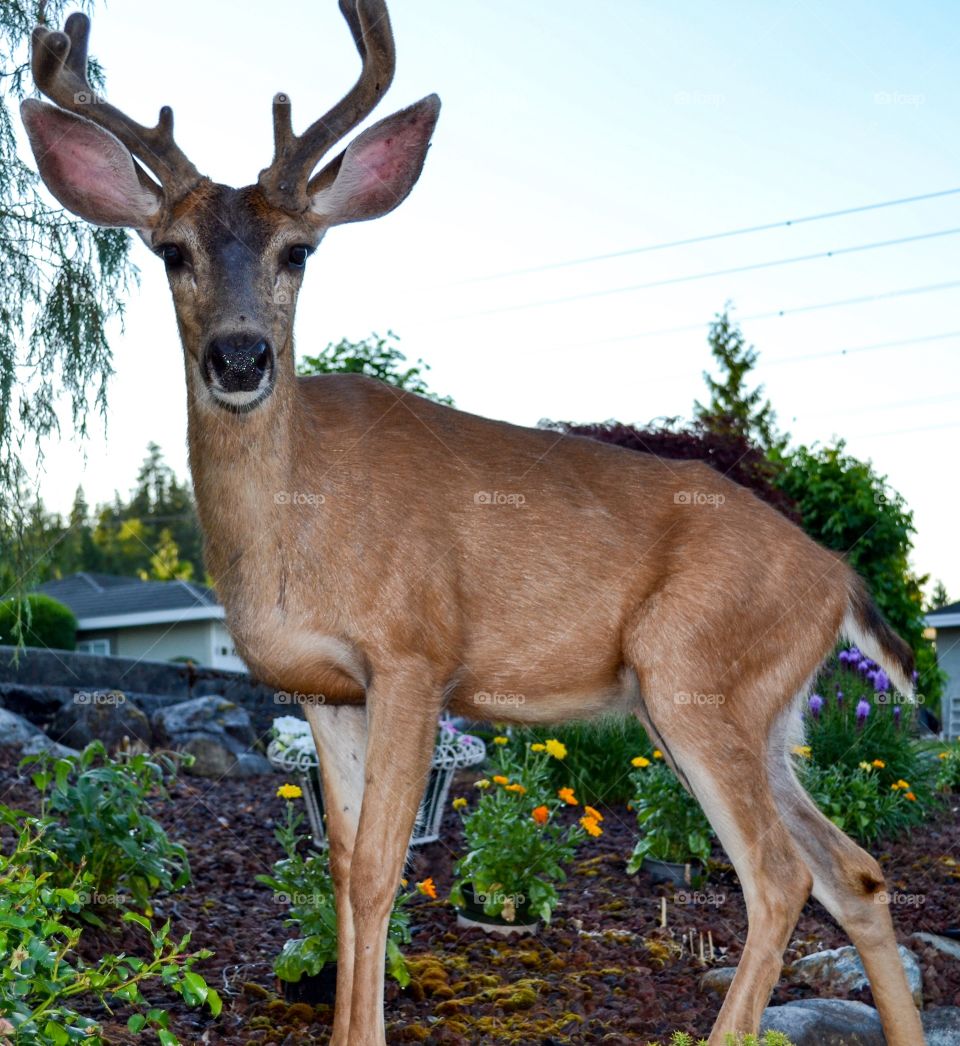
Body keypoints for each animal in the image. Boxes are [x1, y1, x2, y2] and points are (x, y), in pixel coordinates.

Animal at [18, 2, 928, 1046]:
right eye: (171, 251)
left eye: (299, 251)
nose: (239, 358)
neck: (294, 531)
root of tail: (837, 574)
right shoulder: (324, 690)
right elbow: (340, 867)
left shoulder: (417, 652)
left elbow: (381, 870)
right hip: (766, 706)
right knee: (855, 870)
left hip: (692, 670)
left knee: (778, 876)